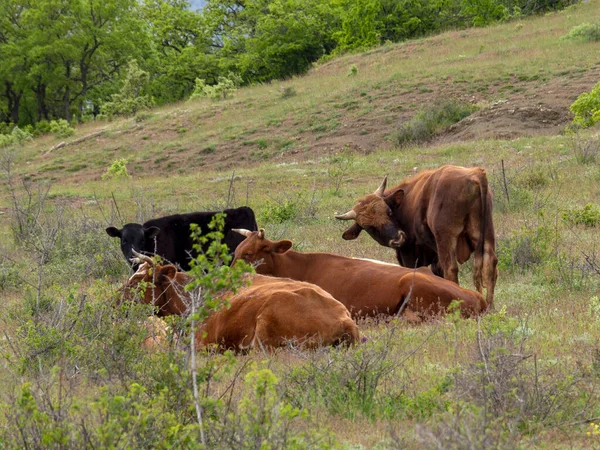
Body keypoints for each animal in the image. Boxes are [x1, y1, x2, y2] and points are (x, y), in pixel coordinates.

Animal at [336, 165, 500, 310]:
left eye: (389, 212)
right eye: (369, 227)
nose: (398, 239)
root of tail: (475, 174)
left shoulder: (409, 254)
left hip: (446, 240)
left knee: (451, 269)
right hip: (485, 235)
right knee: (490, 264)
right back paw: (490, 306)